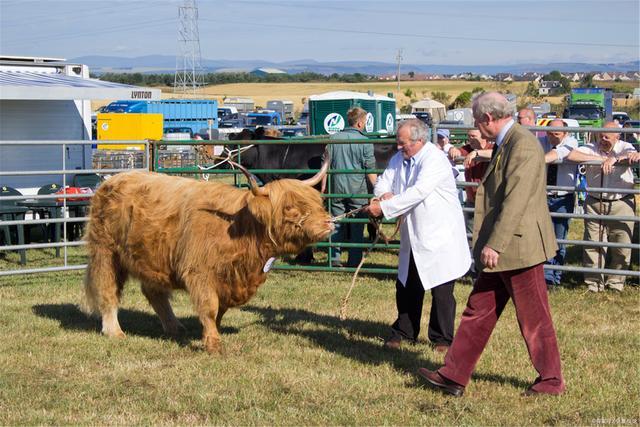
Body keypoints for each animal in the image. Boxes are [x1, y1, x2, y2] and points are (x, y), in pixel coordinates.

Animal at [82, 157, 332, 354]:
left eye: (316, 201)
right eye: (290, 208)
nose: (328, 223)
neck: (243, 228)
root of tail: (112, 180)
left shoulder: (227, 280)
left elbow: (220, 310)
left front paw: (210, 334)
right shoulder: (200, 273)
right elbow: (210, 308)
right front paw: (213, 344)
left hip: (151, 257)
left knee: (154, 293)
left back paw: (174, 327)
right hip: (106, 252)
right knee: (107, 289)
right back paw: (114, 331)